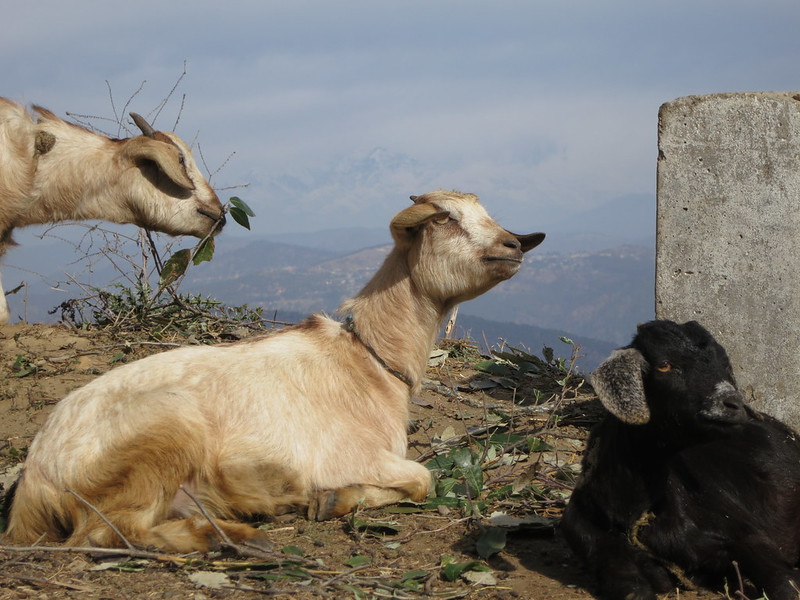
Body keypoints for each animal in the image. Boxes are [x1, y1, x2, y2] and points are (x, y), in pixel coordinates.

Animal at [5, 190, 545, 553]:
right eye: (446, 219)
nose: (513, 245)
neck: (369, 362)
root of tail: (36, 476)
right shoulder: (352, 455)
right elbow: (421, 479)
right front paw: (333, 500)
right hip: (160, 436)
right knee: (107, 531)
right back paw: (229, 536)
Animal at [561, 319, 800, 600]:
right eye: (665, 364)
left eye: (726, 364)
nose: (733, 404)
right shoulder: (586, 534)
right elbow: (630, 587)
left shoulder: (746, 535)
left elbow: (785, 585)